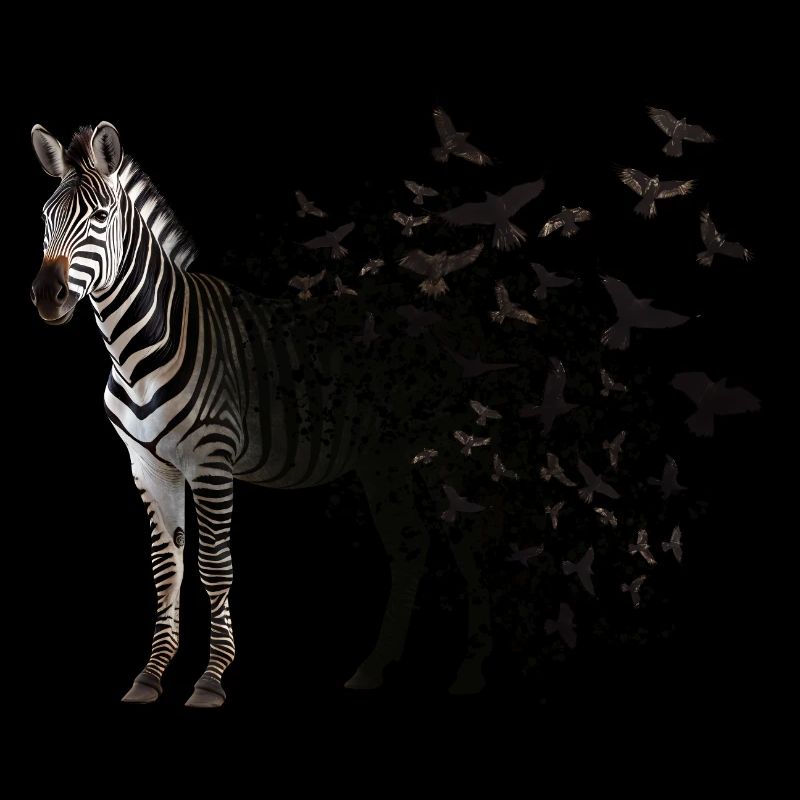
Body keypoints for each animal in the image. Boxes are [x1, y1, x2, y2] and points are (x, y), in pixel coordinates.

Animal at [30, 122, 493, 706]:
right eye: (45, 218)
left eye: (100, 217)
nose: (47, 297)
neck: (139, 349)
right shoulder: (148, 466)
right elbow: (166, 569)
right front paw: (151, 675)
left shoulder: (211, 461)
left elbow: (214, 567)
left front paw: (211, 679)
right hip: (384, 458)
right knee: (410, 544)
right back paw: (373, 668)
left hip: (448, 449)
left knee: (471, 543)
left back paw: (471, 672)